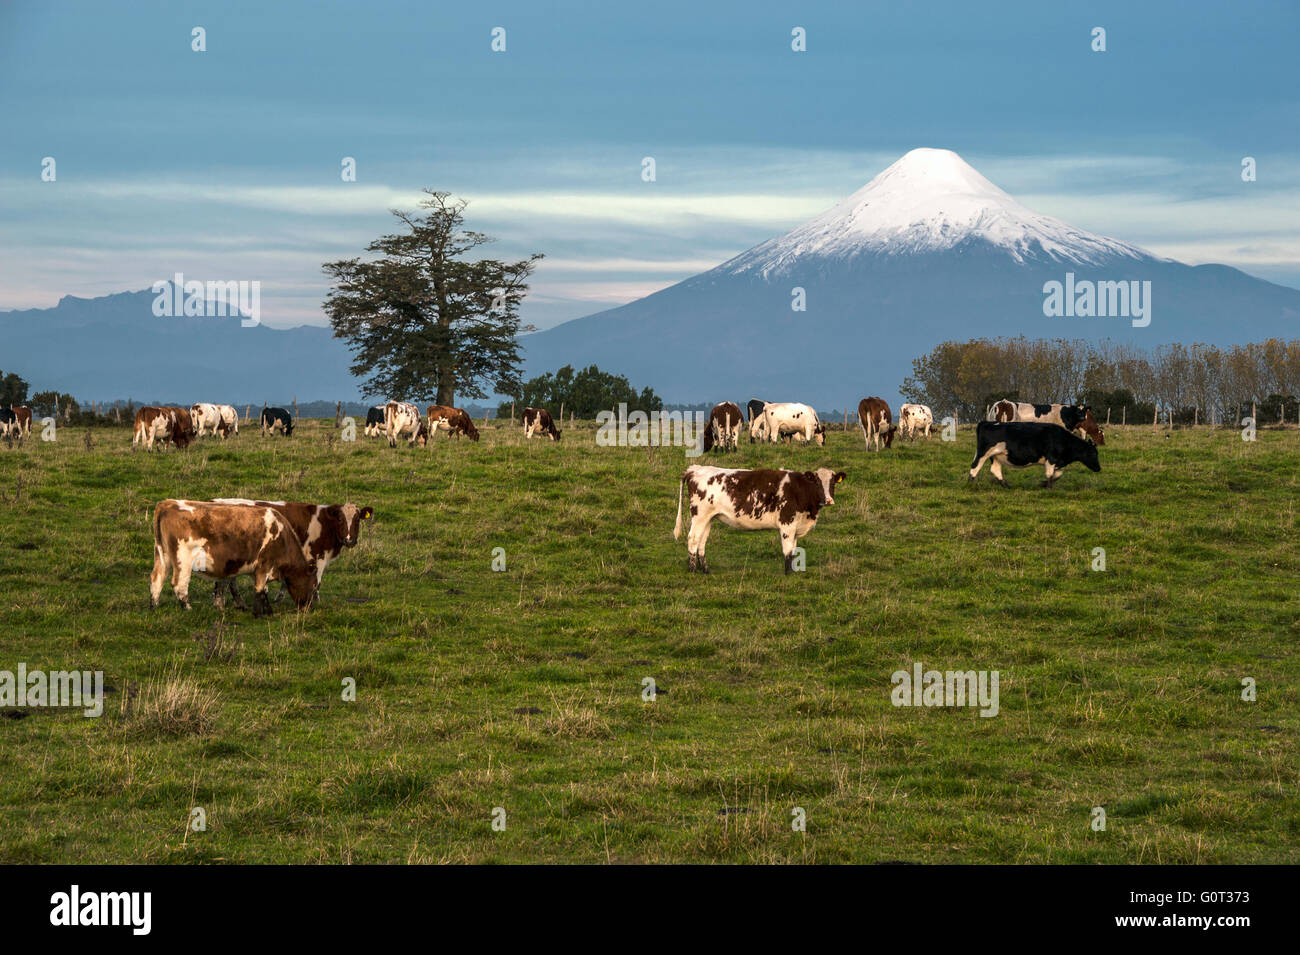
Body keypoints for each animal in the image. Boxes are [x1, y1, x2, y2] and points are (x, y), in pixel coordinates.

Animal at [147, 501, 317, 613]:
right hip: (182, 560)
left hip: (162, 556)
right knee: (179, 584)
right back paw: (188, 608)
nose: (308, 607)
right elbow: (260, 588)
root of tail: (168, 504)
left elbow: (259, 590)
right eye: (313, 585)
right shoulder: (265, 565)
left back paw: (154, 606)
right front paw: (263, 612)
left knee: (157, 578)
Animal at [213, 501, 374, 605]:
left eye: (357, 520)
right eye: (340, 519)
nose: (350, 540)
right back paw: (220, 603)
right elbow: (317, 581)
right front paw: (315, 600)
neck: (325, 524)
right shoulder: (318, 556)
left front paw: (280, 596)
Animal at [676, 465, 847, 571]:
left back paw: (705, 570)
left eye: (833, 483)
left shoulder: (795, 526)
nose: (828, 500)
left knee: (701, 541)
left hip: (709, 517)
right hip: (699, 515)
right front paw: (788, 574)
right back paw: (692, 570)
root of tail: (695, 469)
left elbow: (793, 550)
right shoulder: (787, 523)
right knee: (693, 538)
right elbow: (787, 550)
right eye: (817, 482)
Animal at [972, 420, 1102, 488]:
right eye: (1093, 453)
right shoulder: (1051, 458)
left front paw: (1043, 484)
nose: (1099, 468)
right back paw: (971, 484)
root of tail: (988, 422)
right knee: (975, 467)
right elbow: (1050, 474)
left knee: (995, 469)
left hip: (996, 456)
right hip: (983, 453)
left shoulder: (1056, 462)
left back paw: (1006, 485)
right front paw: (1049, 487)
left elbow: (1058, 474)